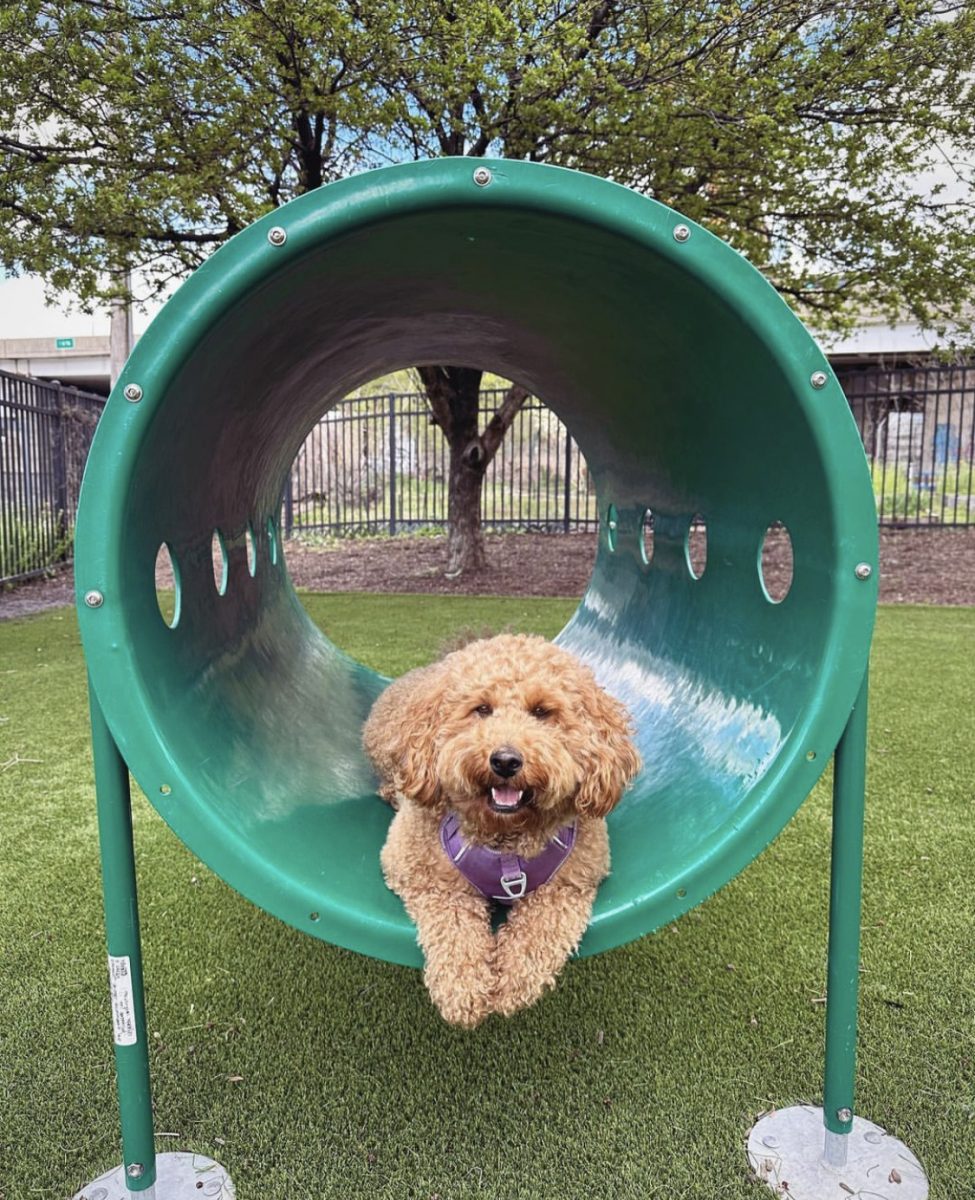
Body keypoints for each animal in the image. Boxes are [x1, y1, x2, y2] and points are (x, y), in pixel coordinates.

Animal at [362, 633, 638, 1027]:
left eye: (542, 711)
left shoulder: (572, 883)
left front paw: (513, 982)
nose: (506, 760)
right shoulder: (414, 868)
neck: (506, 838)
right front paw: (462, 987)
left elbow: (542, 930)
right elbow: (452, 922)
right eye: (481, 708)